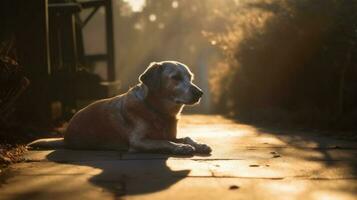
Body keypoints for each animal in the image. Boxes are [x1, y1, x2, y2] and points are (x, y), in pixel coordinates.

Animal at [29, 60, 211, 155]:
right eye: (176, 77)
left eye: (190, 77)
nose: (200, 93)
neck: (157, 111)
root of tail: (65, 138)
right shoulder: (138, 141)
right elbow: (164, 142)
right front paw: (181, 147)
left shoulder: (171, 134)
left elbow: (186, 137)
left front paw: (200, 145)